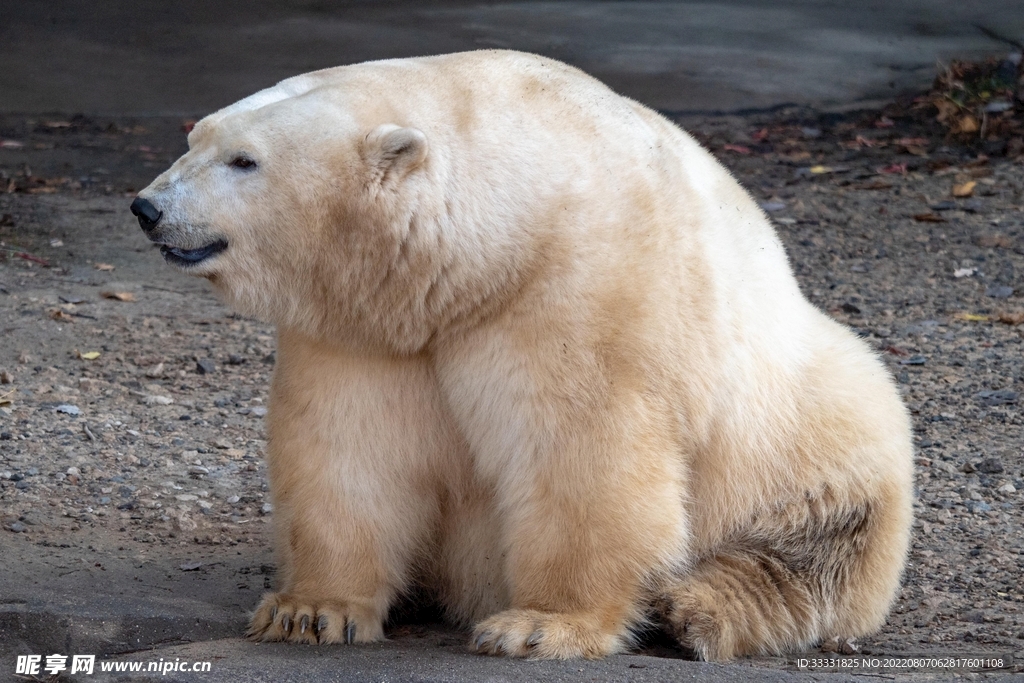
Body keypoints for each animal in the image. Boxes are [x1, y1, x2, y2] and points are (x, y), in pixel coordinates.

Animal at [134, 50, 913, 659]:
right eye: (195, 136)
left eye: (245, 160)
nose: (147, 207)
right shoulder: (368, 326)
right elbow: (349, 446)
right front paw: (310, 610)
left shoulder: (580, 291)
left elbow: (583, 448)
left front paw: (540, 625)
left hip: (812, 417)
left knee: (820, 531)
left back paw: (699, 606)